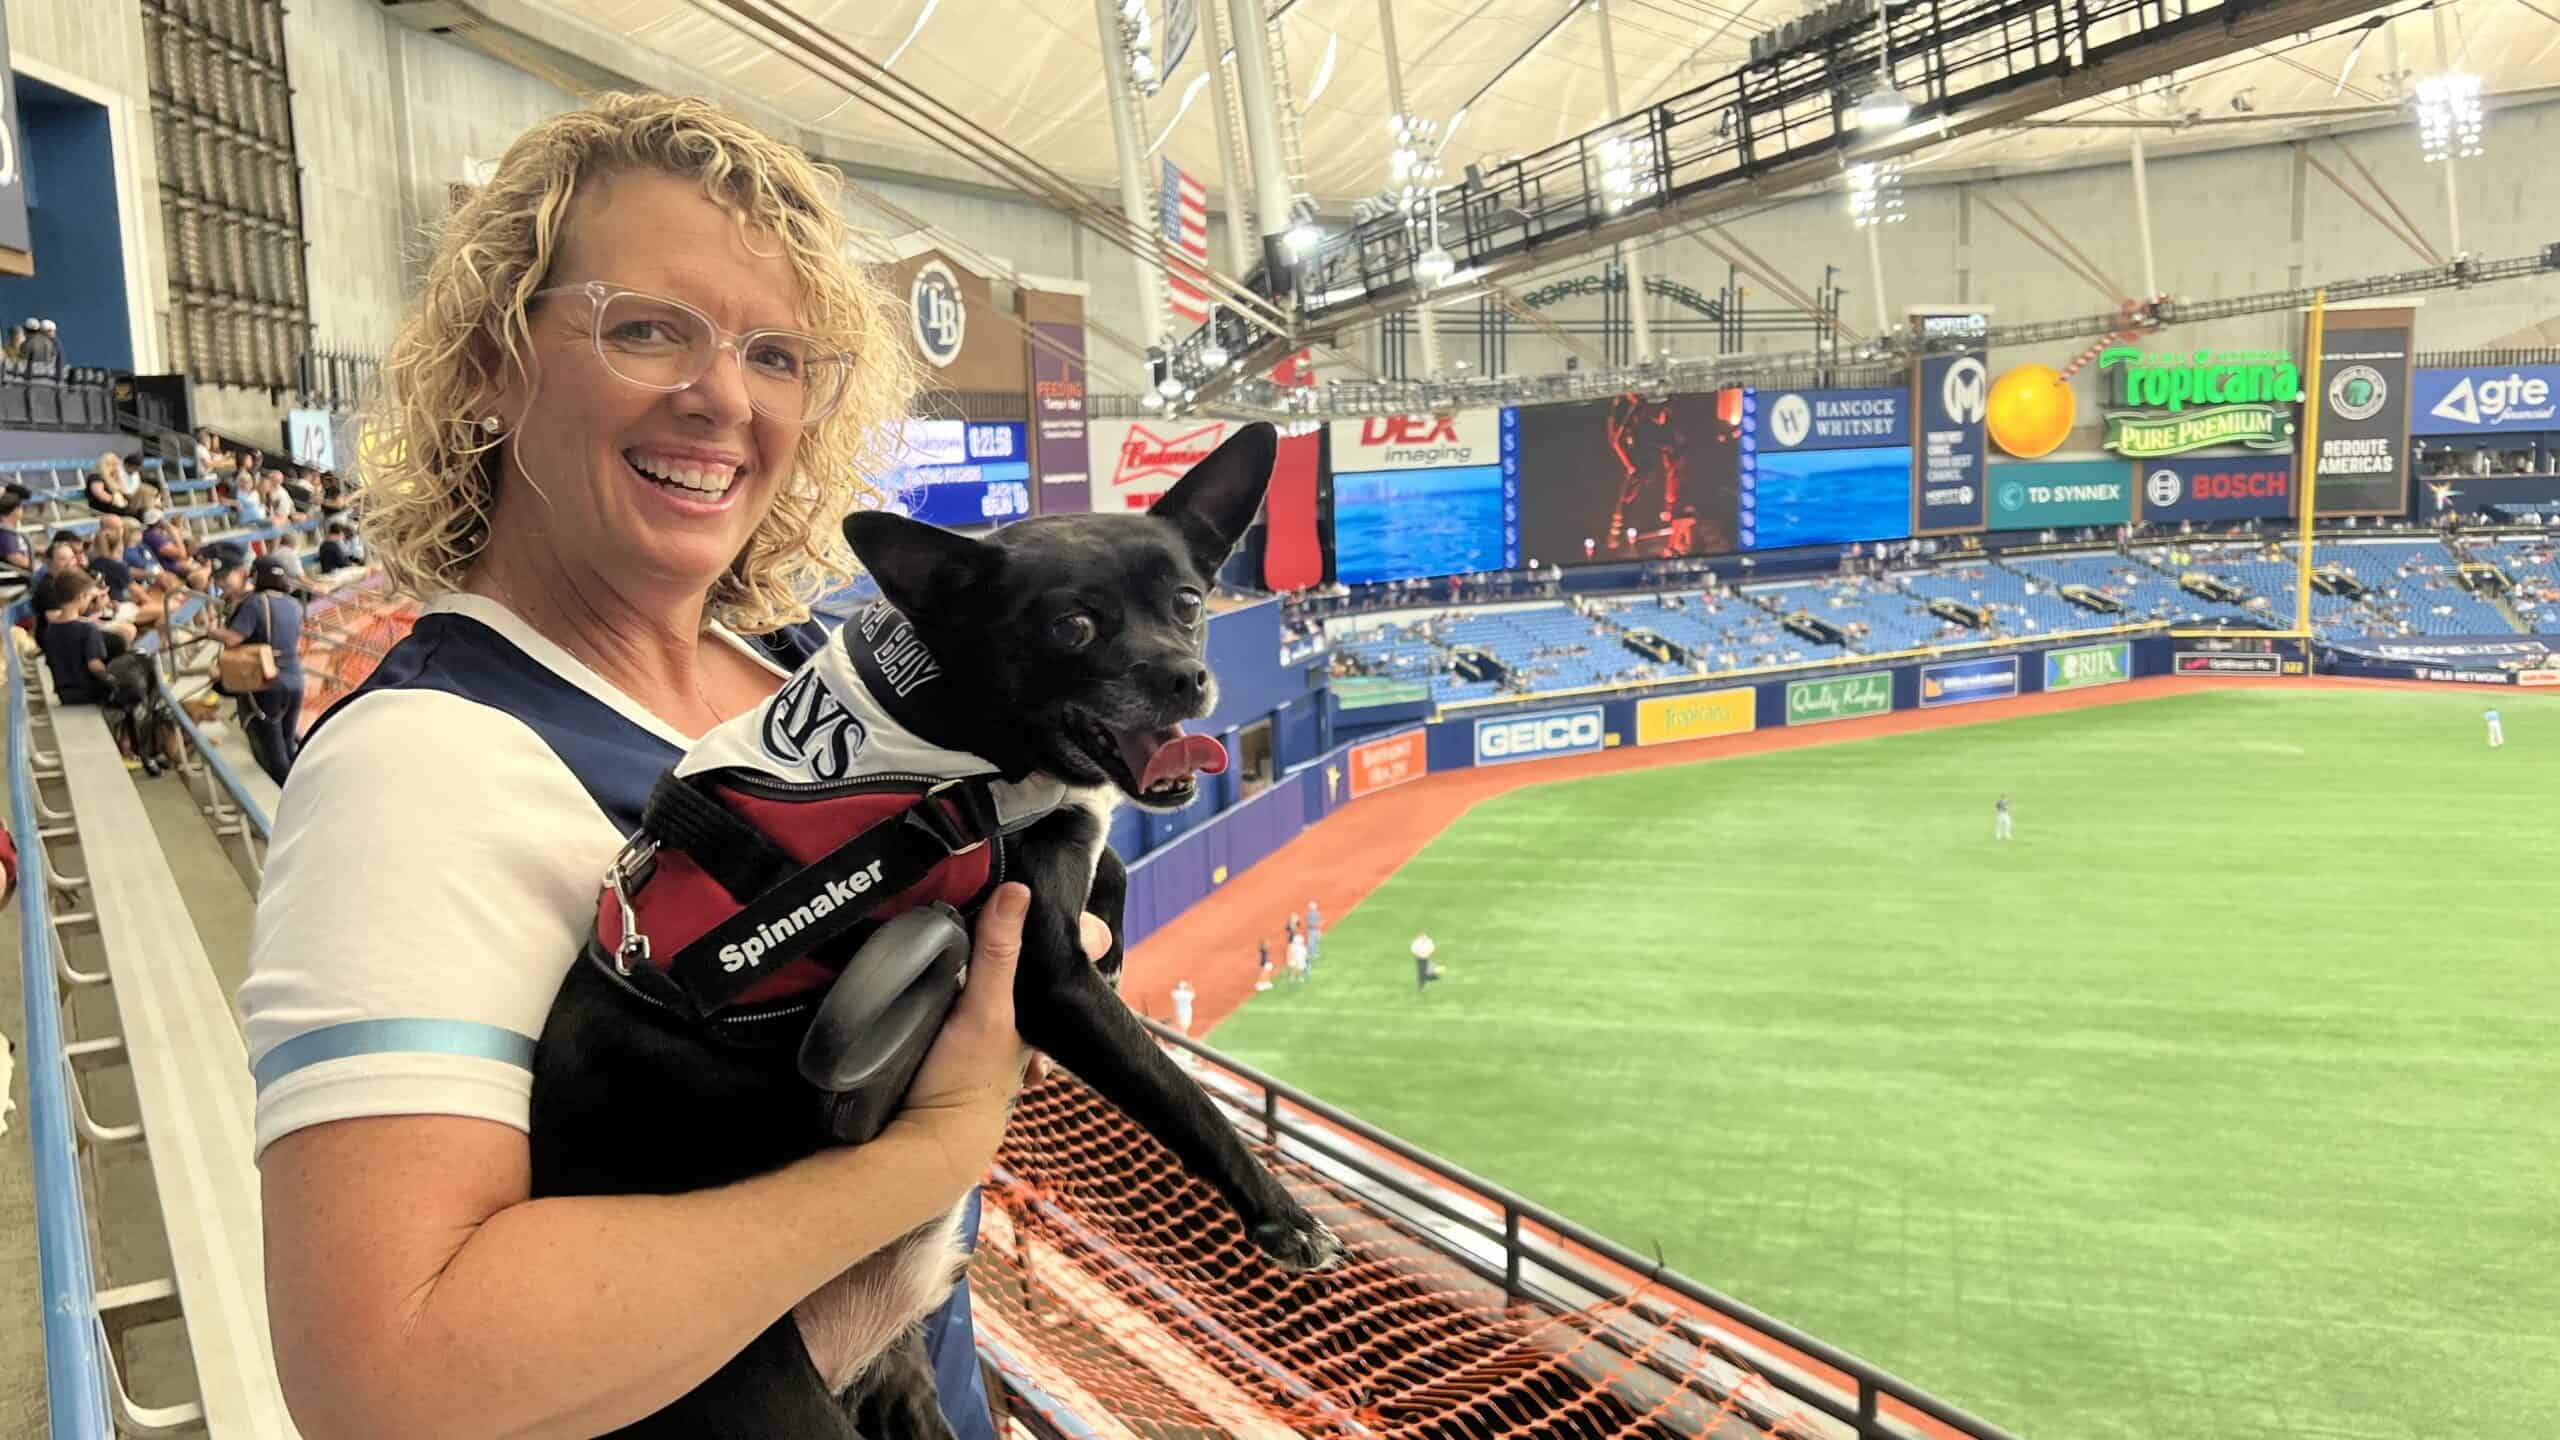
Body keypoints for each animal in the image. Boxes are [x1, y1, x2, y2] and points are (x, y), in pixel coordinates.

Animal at [532, 420, 1351, 1424]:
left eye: (1191, 602)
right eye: (1071, 626)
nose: (1187, 675)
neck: (952, 719)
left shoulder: (1059, 844)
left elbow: (1109, 861)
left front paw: (1115, 930)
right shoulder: (1049, 981)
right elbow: (1175, 1090)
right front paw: (1283, 1213)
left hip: (899, 1385)